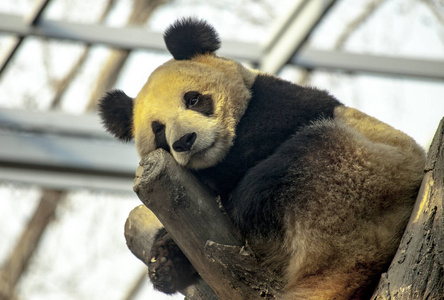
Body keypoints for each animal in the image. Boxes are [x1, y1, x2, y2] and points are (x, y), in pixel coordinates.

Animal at [99, 18, 424, 298]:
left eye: (193, 99)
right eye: (158, 130)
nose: (184, 141)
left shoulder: (281, 99)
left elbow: (266, 131)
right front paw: (165, 262)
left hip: (361, 173)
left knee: (290, 168)